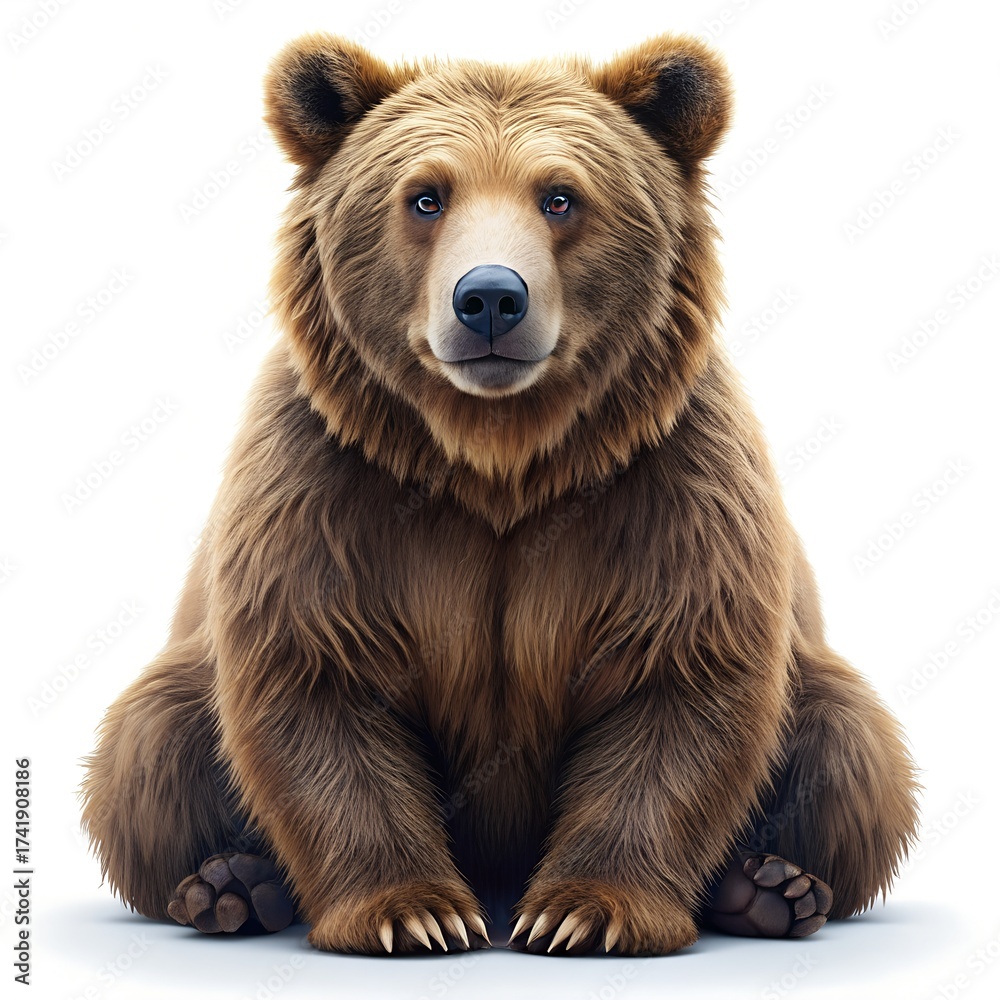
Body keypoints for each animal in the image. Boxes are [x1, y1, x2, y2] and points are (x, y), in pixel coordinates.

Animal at [80, 31, 919, 956]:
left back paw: (772, 888)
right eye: (425, 196)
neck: (498, 460)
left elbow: (682, 678)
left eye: (560, 196)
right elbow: (315, 673)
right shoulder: (328, 485)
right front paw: (413, 911)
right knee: (149, 747)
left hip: (817, 683)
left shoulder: (669, 487)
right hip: (179, 685)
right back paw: (230, 887)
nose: (488, 297)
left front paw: (585, 909)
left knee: (851, 745)